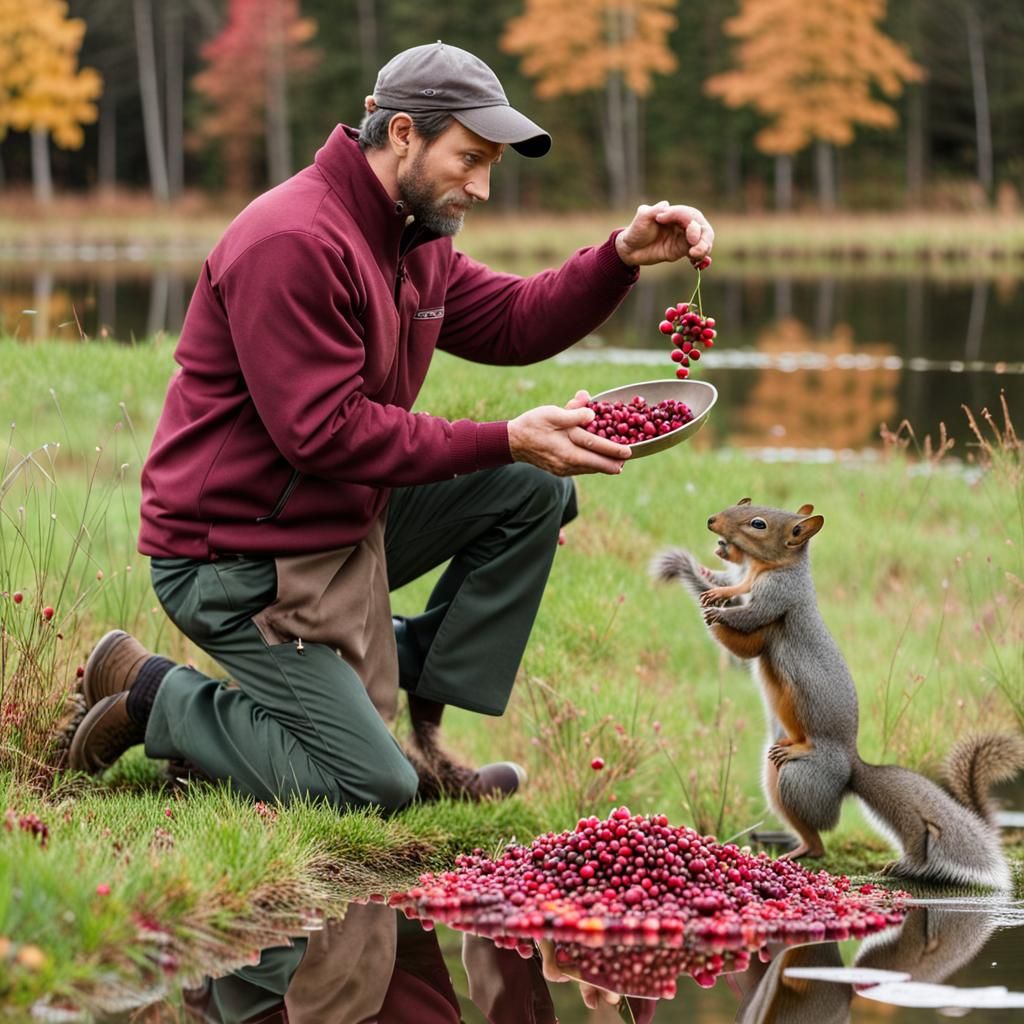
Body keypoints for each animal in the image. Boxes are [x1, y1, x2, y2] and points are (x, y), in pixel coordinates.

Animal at [651, 497, 1024, 888]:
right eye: (744, 502)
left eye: (758, 523)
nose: (713, 523)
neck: (760, 569)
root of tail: (849, 765)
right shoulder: (742, 580)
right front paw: (702, 578)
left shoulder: (776, 599)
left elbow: (749, 620)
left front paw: (714, 605)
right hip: (774, 778)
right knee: (813, 840)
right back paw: (792, 852)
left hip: (801, 778)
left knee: (820, 832)